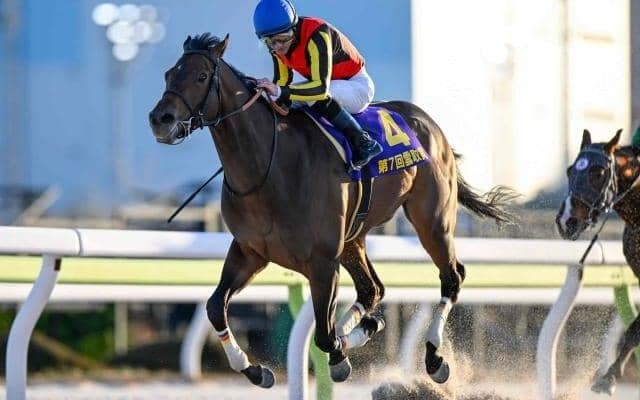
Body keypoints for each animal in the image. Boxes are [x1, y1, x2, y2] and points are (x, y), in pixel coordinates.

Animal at [148, 33, 516, 388]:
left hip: (432, 220)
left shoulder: (323, 262)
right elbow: (215, 307)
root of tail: (429, 123)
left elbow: (324, 336)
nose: (159, 119)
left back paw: (434, 358)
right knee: (373, 289)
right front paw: (255, 370)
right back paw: (367, 327)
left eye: (200, 76)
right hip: (354, 237)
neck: (269, 168)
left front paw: (342, 354)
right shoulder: (250, 251)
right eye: (167, 74)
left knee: (451, 277)